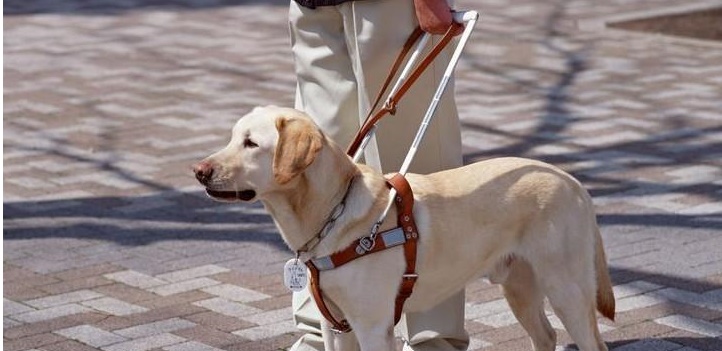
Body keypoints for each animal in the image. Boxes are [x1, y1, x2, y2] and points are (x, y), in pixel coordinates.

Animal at [195, 106, 612, 350]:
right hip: (520, 287)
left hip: (566, 288)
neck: (331, 213)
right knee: (547, 335)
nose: (198, 171)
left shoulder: (372, 325)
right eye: (232, 138)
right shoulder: (335, 326)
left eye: (251, 143)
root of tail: (573, 181)